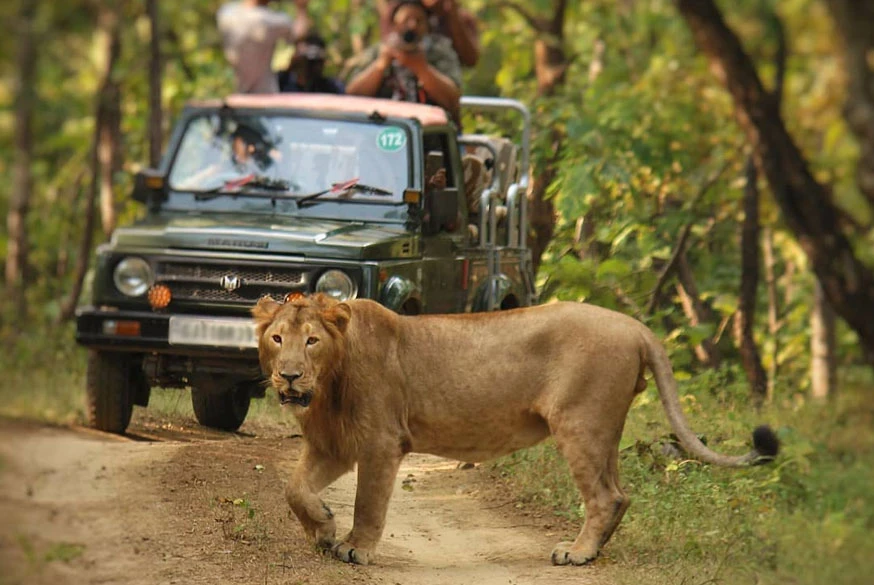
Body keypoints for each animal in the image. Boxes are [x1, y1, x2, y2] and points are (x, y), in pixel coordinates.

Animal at [252, 294, 779, 566]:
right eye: (277, 338)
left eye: (311, 341)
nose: (290, 376)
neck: (328, 384)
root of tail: (635, 326)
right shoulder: (333, 443)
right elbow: (293, 489)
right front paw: (322, 529)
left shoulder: (382, 441)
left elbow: (367, 503)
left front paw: (354, 548)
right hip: (605, 428)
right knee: (621, 494)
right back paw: (595, 550)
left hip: (580, 422)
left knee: (605, 495)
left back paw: (577, 553)